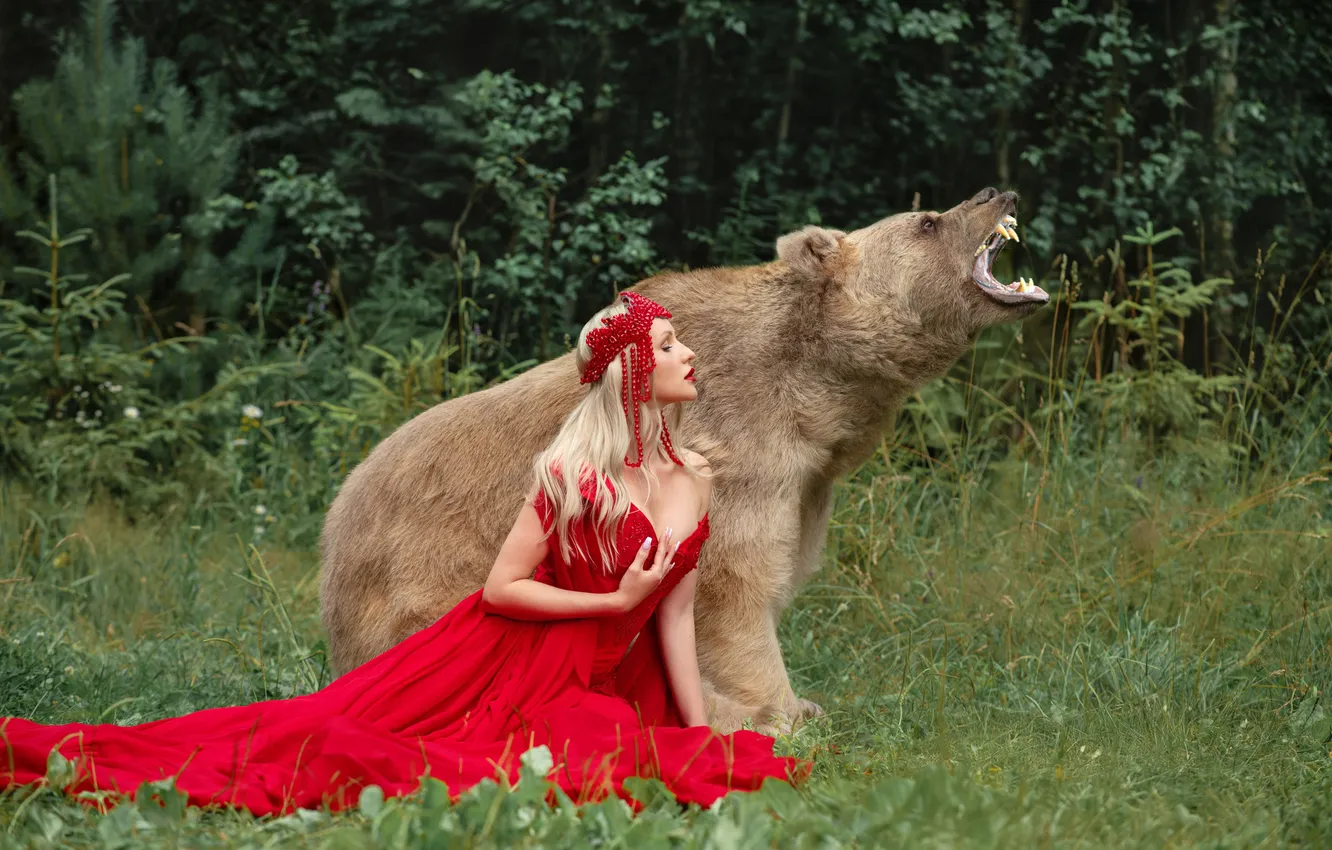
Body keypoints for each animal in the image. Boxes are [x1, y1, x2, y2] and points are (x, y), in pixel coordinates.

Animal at [317, 187, 1048, 734]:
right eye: (929, 220)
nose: (998, 190)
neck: (815, 390)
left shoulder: (806, 479)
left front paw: (797, 702)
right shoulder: (735, 451)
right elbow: (735, 584)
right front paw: (778, 708)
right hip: (424, 579)